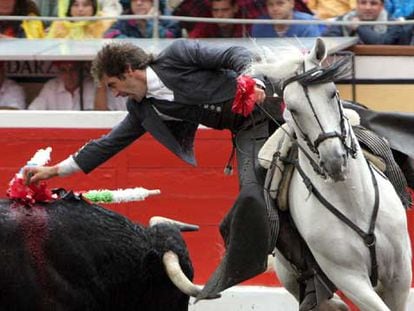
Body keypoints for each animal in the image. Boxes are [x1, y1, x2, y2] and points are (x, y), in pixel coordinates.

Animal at [252, 39, 410, 311]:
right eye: (292, 108)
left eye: (333, 93)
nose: (335, 161)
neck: (354, 202)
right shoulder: (349, 278)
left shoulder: (399, 274)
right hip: (293, 276)